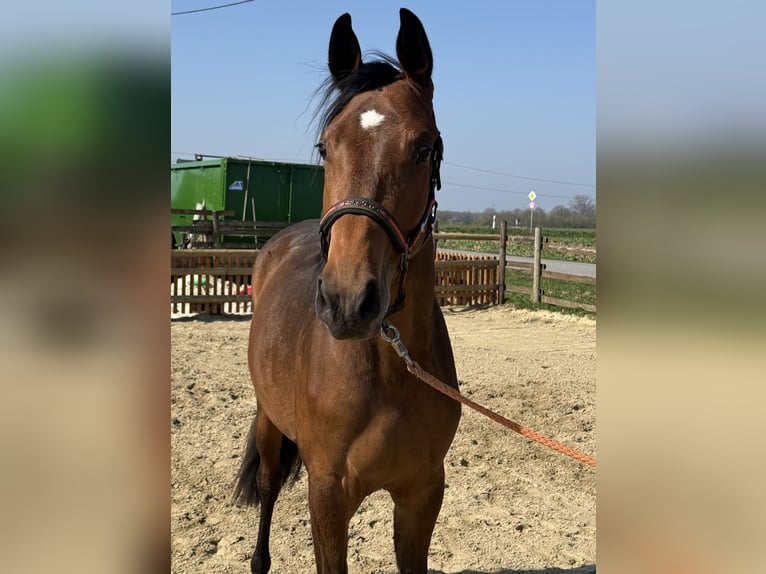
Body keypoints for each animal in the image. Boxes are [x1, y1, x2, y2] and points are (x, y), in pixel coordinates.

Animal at [234, 9, 461, 573]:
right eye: (325, 147)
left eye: (424, 148)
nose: (346, 302)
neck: (390, 372)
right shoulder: (329, 497)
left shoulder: (423, 494)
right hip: (269, 419)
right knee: (268, 484)